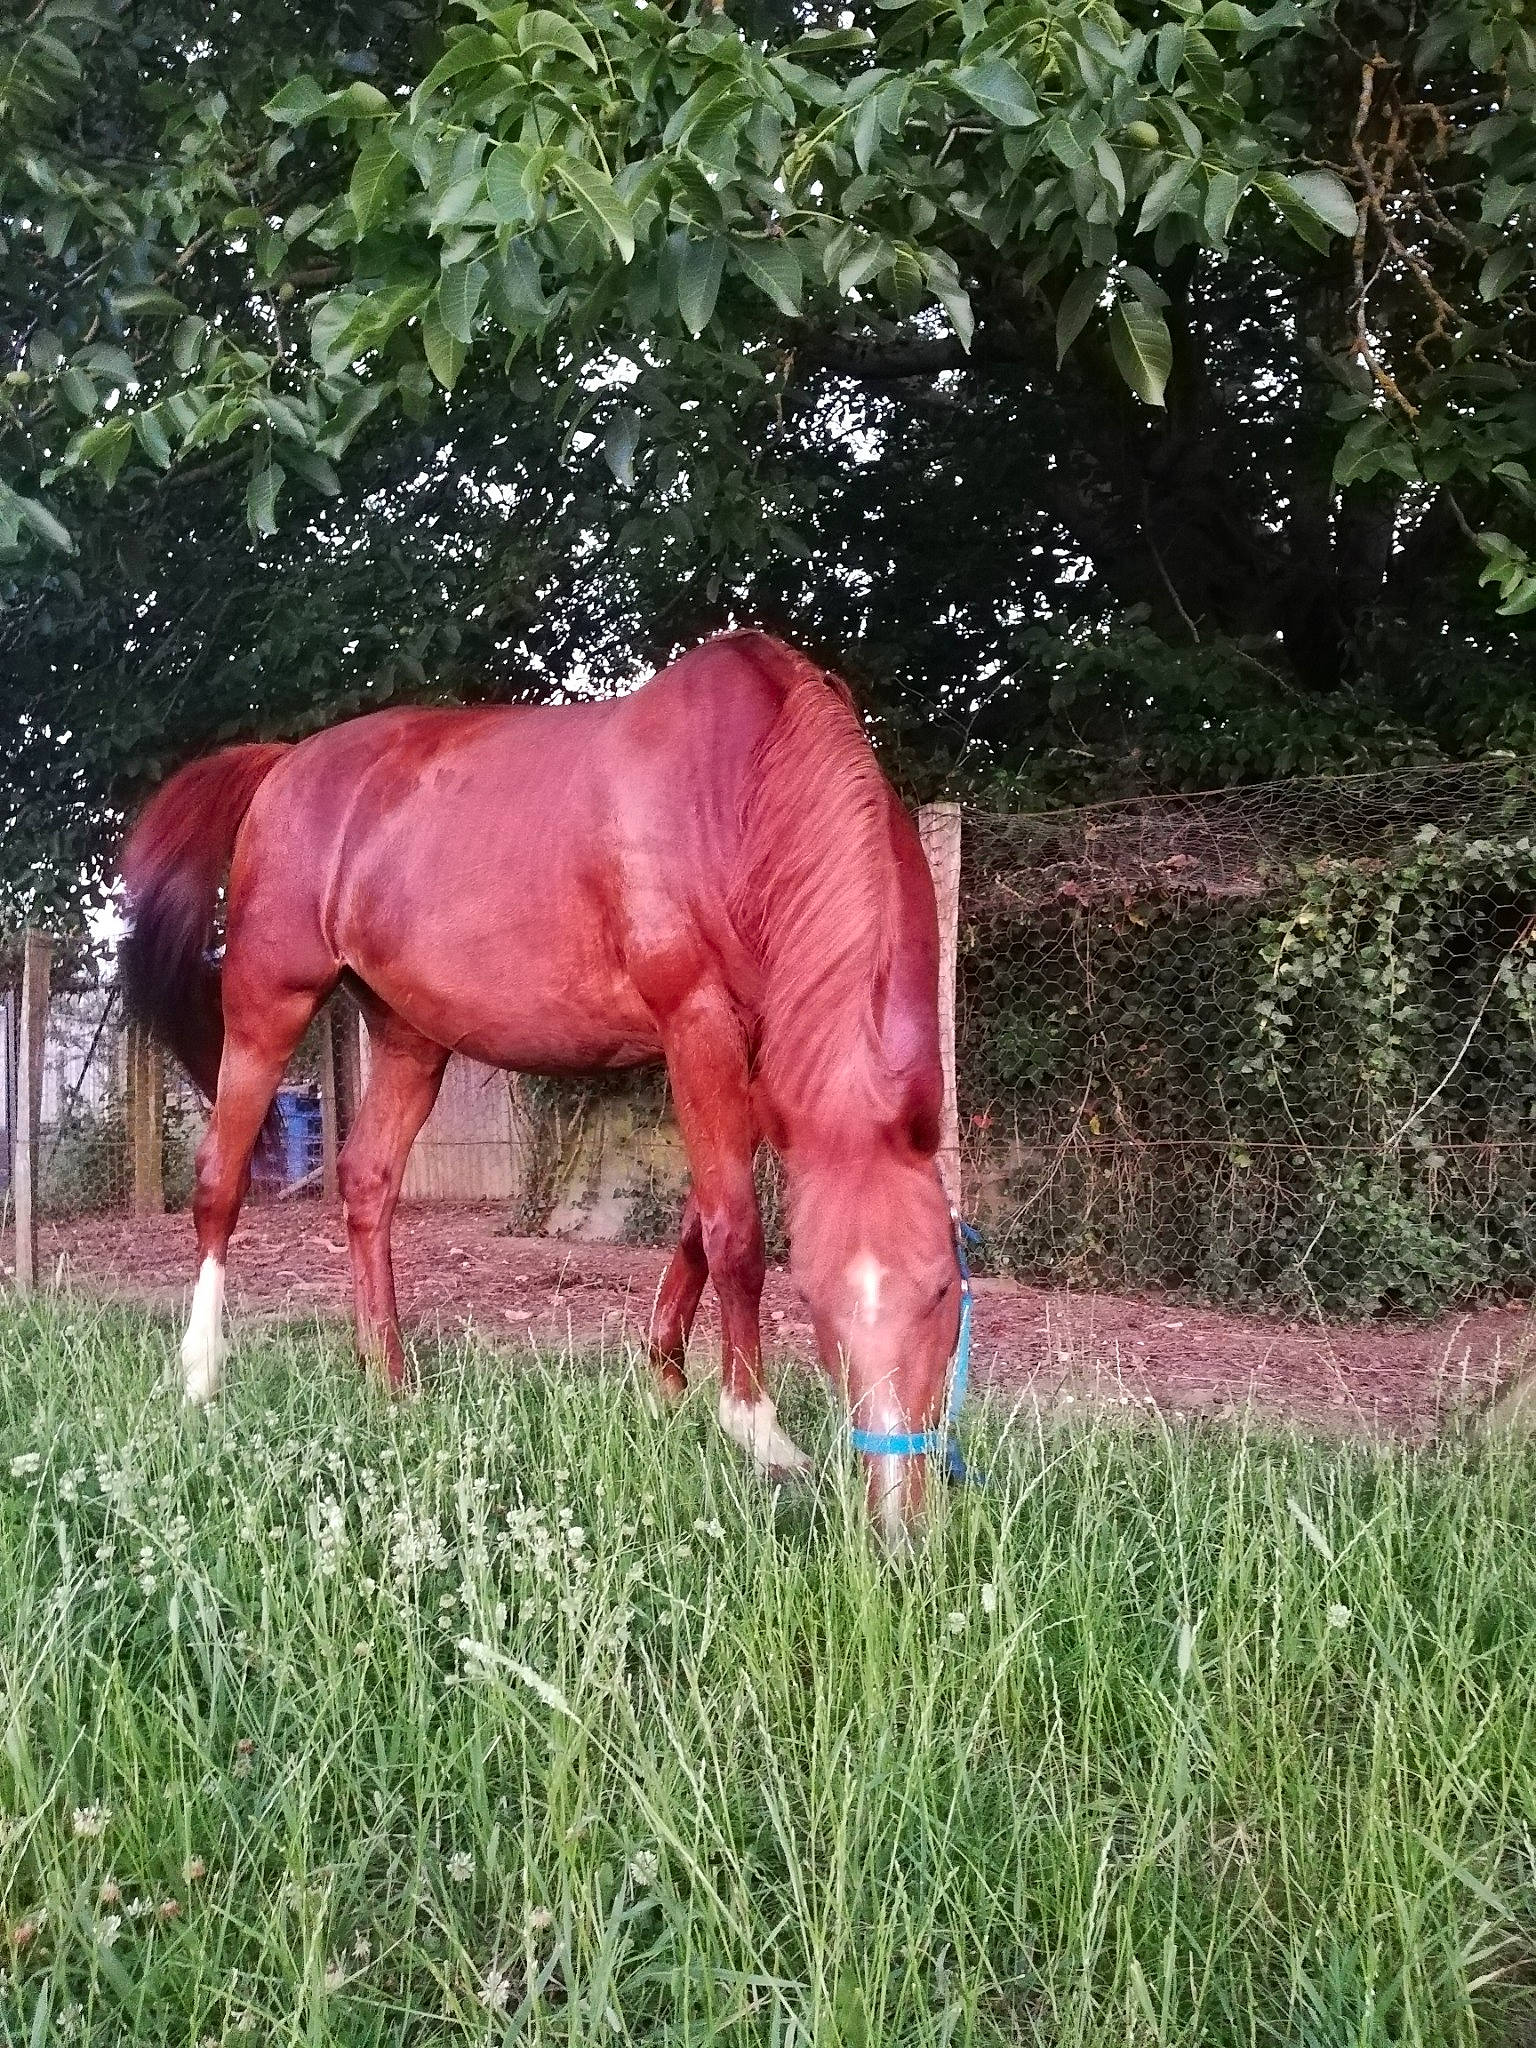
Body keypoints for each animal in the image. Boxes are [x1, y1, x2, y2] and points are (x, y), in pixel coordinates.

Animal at [120, 630, 963, 1538]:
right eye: (813, 1300)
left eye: (944, 1289)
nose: (900, 1523)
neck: (741, 790)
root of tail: (282, 764)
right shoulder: (696, 1024)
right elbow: (733, 1229)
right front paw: (757, 1430)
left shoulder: (759, 1060)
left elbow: (702, 1217)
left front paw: (666, 1379)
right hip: (266, 1009)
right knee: (219, 1181)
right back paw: (201, 1377)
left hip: (410, 1037)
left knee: (367, 1182)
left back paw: (391, 1385)